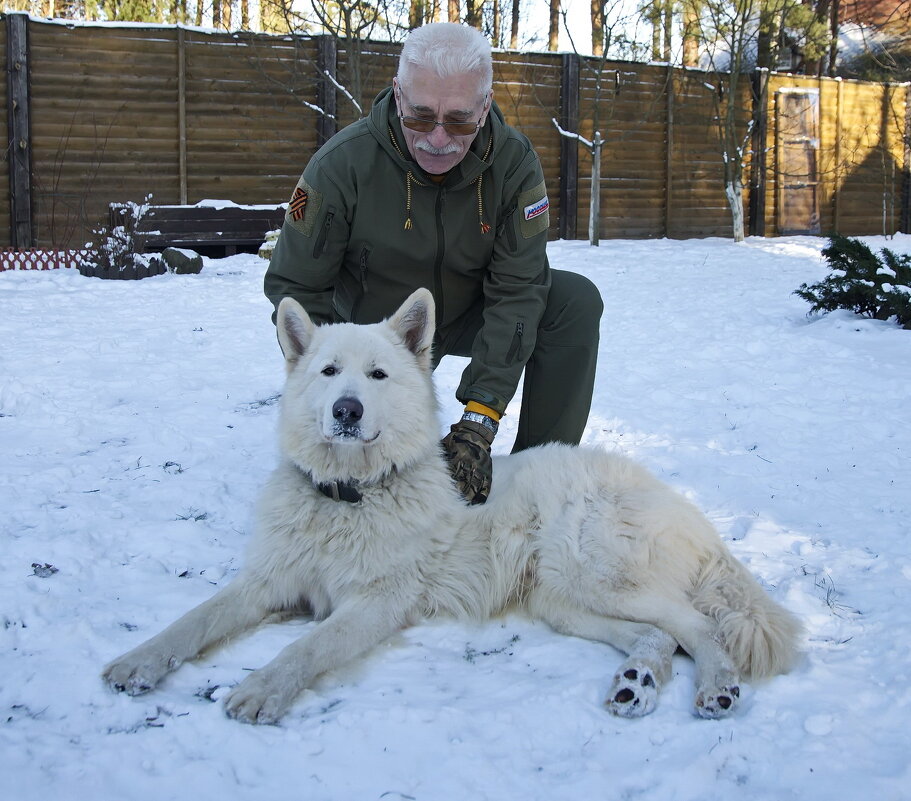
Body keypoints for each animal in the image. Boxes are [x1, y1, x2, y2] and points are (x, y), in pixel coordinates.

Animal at [103, 290, 800, 724]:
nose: (346, 410)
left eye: (377, 376)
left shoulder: (375, 604)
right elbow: (191, 622)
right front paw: (135, 663)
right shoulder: (266, 583)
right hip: (560, 599)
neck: (350, 497)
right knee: (659, 636)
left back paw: (716, 686)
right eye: (328, 372)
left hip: (590, 572)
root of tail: (688, 511)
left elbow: (306, 649)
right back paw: (637, 684)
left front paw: (260, 688)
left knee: (700, 627)